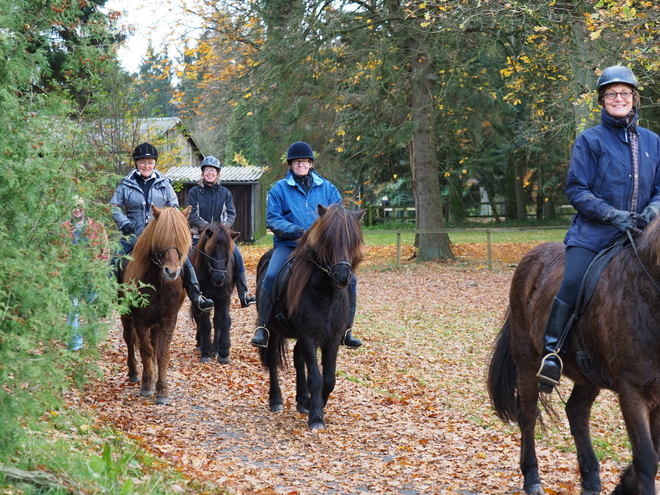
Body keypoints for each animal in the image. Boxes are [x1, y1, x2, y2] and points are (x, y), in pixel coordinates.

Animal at [120, 206, 192, 406]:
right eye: (160, 240)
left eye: (182, 241)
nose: (172, 272)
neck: (158, 284)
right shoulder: (139, 319)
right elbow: (145, 350)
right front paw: (146, 385)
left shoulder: (168, 319)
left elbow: (161, 353)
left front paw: (162, 390)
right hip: (126, 316)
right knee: (130, 339)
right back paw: (134, 373)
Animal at [188, 224, 240, 364]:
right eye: (211, 251)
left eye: (228, 251)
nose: (219, 278)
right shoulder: (203, 300)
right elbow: (205, 324)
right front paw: (206, 353)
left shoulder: (224, 297)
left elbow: (224, 321)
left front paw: (223, 352)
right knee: (198, 319)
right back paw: (201, 344)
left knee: (216, 320)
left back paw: (216, 348)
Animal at [488, 222, 660, 495]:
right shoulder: (632, 389)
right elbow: (646, 458)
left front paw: (624, 485)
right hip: (526, 360)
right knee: (528, 415)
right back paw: (532, 478)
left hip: (588, 373)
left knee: (576, 411)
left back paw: (590, 480)